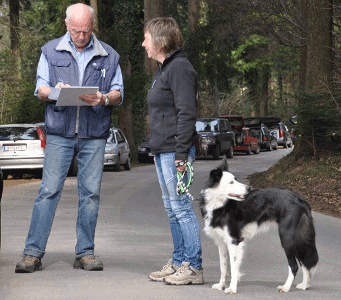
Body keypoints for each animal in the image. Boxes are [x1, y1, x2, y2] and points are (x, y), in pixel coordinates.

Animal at [199, 158, 318, 294]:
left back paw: (286, 287)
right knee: (304, 261)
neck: (219, 205)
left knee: (294, 265)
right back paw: (305, 285)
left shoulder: (234, 241)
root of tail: (301, 199)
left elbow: (234, 269)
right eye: (231, 182)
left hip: (287, 238)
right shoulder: (221, 242)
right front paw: (221, 285)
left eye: (235, 179)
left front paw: (232, 288)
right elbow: (223, 266)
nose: (248, 188)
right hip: (296, 239)